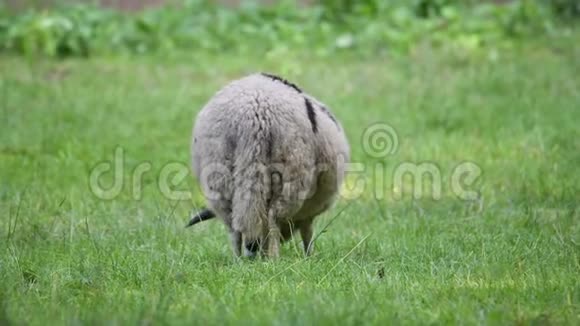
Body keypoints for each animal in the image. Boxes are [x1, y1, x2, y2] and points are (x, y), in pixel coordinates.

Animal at [189, 72, 348, 258]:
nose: (252, 251)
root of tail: (253, 113)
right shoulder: (309, 211)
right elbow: (307, 233)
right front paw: (308, 257)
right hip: (290, 173)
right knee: (273, 218)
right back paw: (273, 259)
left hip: (219, 175)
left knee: (234, 226)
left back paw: (238, 259)